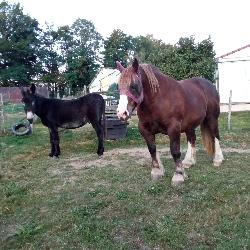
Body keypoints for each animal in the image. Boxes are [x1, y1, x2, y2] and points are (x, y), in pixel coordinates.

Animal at [116, 57, 224, 185]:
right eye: (118, 87)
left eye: (133, 85)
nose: (122, 113)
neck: (158, 100)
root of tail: (209, 85)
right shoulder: (145, 129)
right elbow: (152, 149)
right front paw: (157, 171)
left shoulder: (174, 128)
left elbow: (175, 151)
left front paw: (178, 175)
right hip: (190, 125)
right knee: (192, 139)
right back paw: (189, 162)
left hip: (212, 118)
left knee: (215, 135)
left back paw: (218, 159)